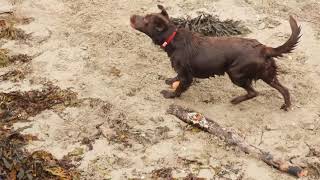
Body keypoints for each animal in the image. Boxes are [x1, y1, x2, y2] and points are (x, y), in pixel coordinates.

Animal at [129, 4, 300, 110]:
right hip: (267, 74)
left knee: (254, 92)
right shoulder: (181, 72)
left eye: (145, 20)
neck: (173, 37)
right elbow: (175, 77)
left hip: (236, 73)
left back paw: (235, 100)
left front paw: (170, 94)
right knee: (284, 90)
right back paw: (286, 106)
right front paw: (171, 80)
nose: (131, 16)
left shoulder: (187, 76)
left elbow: (180, 87)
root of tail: (264, 48)